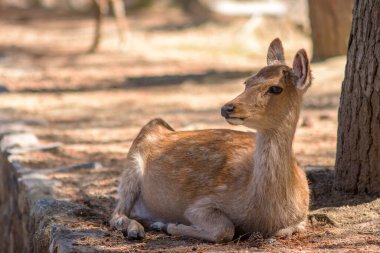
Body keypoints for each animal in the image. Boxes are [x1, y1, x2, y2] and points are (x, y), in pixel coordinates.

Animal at [109, 38, 308, 243]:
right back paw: (137, 229)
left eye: (276, 88)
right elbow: (225, 229)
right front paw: (168, 225)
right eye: (246, 82)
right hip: (131, 166)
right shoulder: (201, 204)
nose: (227, 107)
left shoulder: (302, 218)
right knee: (116, 214)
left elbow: (287, 230)